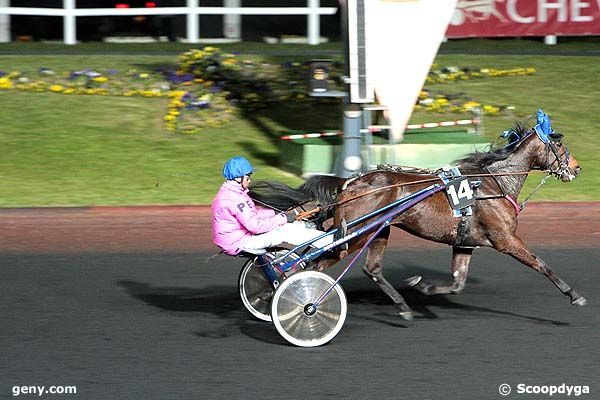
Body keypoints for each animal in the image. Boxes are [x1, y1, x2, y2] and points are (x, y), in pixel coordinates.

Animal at [252, 114, 584, 320]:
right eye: (560, 145)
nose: (577, 168)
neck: (493, 184)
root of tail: (351, 182)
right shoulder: (505, 239)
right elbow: (540, 264)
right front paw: (574, 294)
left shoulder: (464, 243)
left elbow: (457, 282)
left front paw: (422, 286)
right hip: (357, 234)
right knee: (315, 263)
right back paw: (293, 297)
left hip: (379, 230)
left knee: (370, 269)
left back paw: (402, 307)